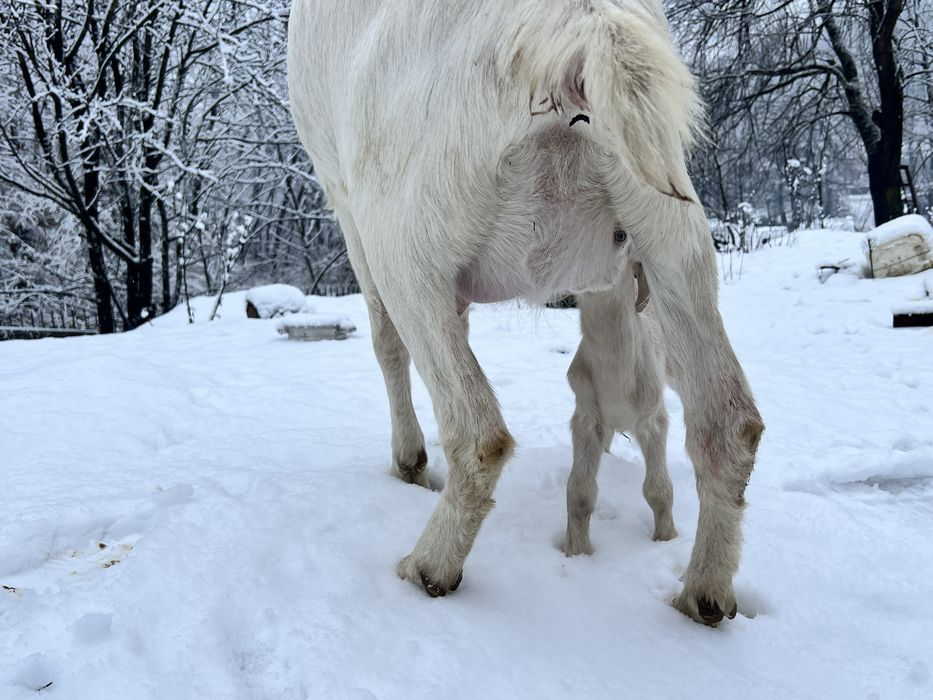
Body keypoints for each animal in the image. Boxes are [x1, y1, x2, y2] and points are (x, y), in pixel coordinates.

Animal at [288, 0, 764, 625]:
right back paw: (702, 595)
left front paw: (409, 463)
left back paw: (429, 567)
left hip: (404, 239)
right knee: (729, 424)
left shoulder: (348, 206)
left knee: (478, 430)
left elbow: (385, 344)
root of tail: (580, 24)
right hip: (670, 231)